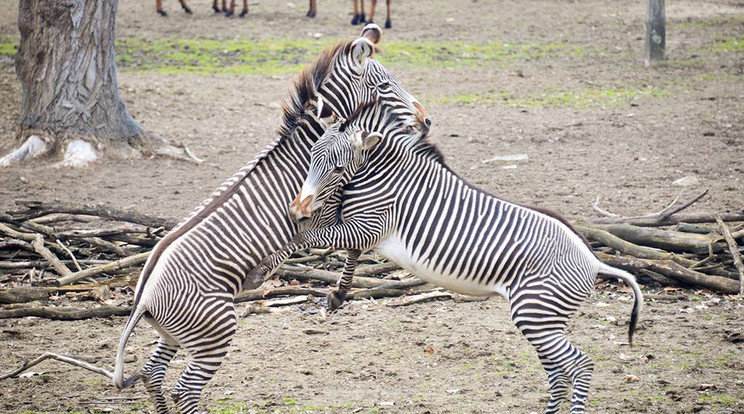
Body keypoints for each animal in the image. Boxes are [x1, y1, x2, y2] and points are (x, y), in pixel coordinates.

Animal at [107, 23, 428, 414]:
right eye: (385, 85)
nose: (427, 121)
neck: (311, 148)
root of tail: (143, 299)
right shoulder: (328, 207)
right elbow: (347, 243)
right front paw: (335, 293)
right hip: (216, 329)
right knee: (184, 389)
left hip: (175, 334)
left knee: (153, 374)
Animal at [251, 101, 644, 414]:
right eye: (311, 158)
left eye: (336, 169)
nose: (296, 209)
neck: (380, 175)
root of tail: (594, 261)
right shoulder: (361, 229)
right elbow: (343, 251)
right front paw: (337, 293)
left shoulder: (369, 227)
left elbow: (309, 237)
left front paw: (263, 268)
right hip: (546, 319)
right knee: (560, 372)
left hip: (536, 313)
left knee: (579, 366)